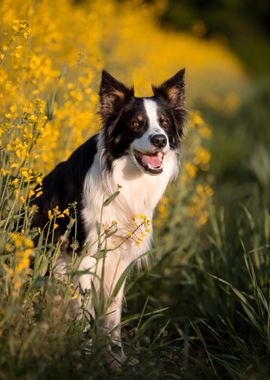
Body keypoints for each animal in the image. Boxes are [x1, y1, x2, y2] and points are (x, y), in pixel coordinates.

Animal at [32, 69, 186, 366]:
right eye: (136, 123)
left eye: (164, 123)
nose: (160, 140)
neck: (124, 178)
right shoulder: (84, 255)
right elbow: (85, 312)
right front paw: (86, 355)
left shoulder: (120, 256)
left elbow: (112, 314)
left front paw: (116, 358)